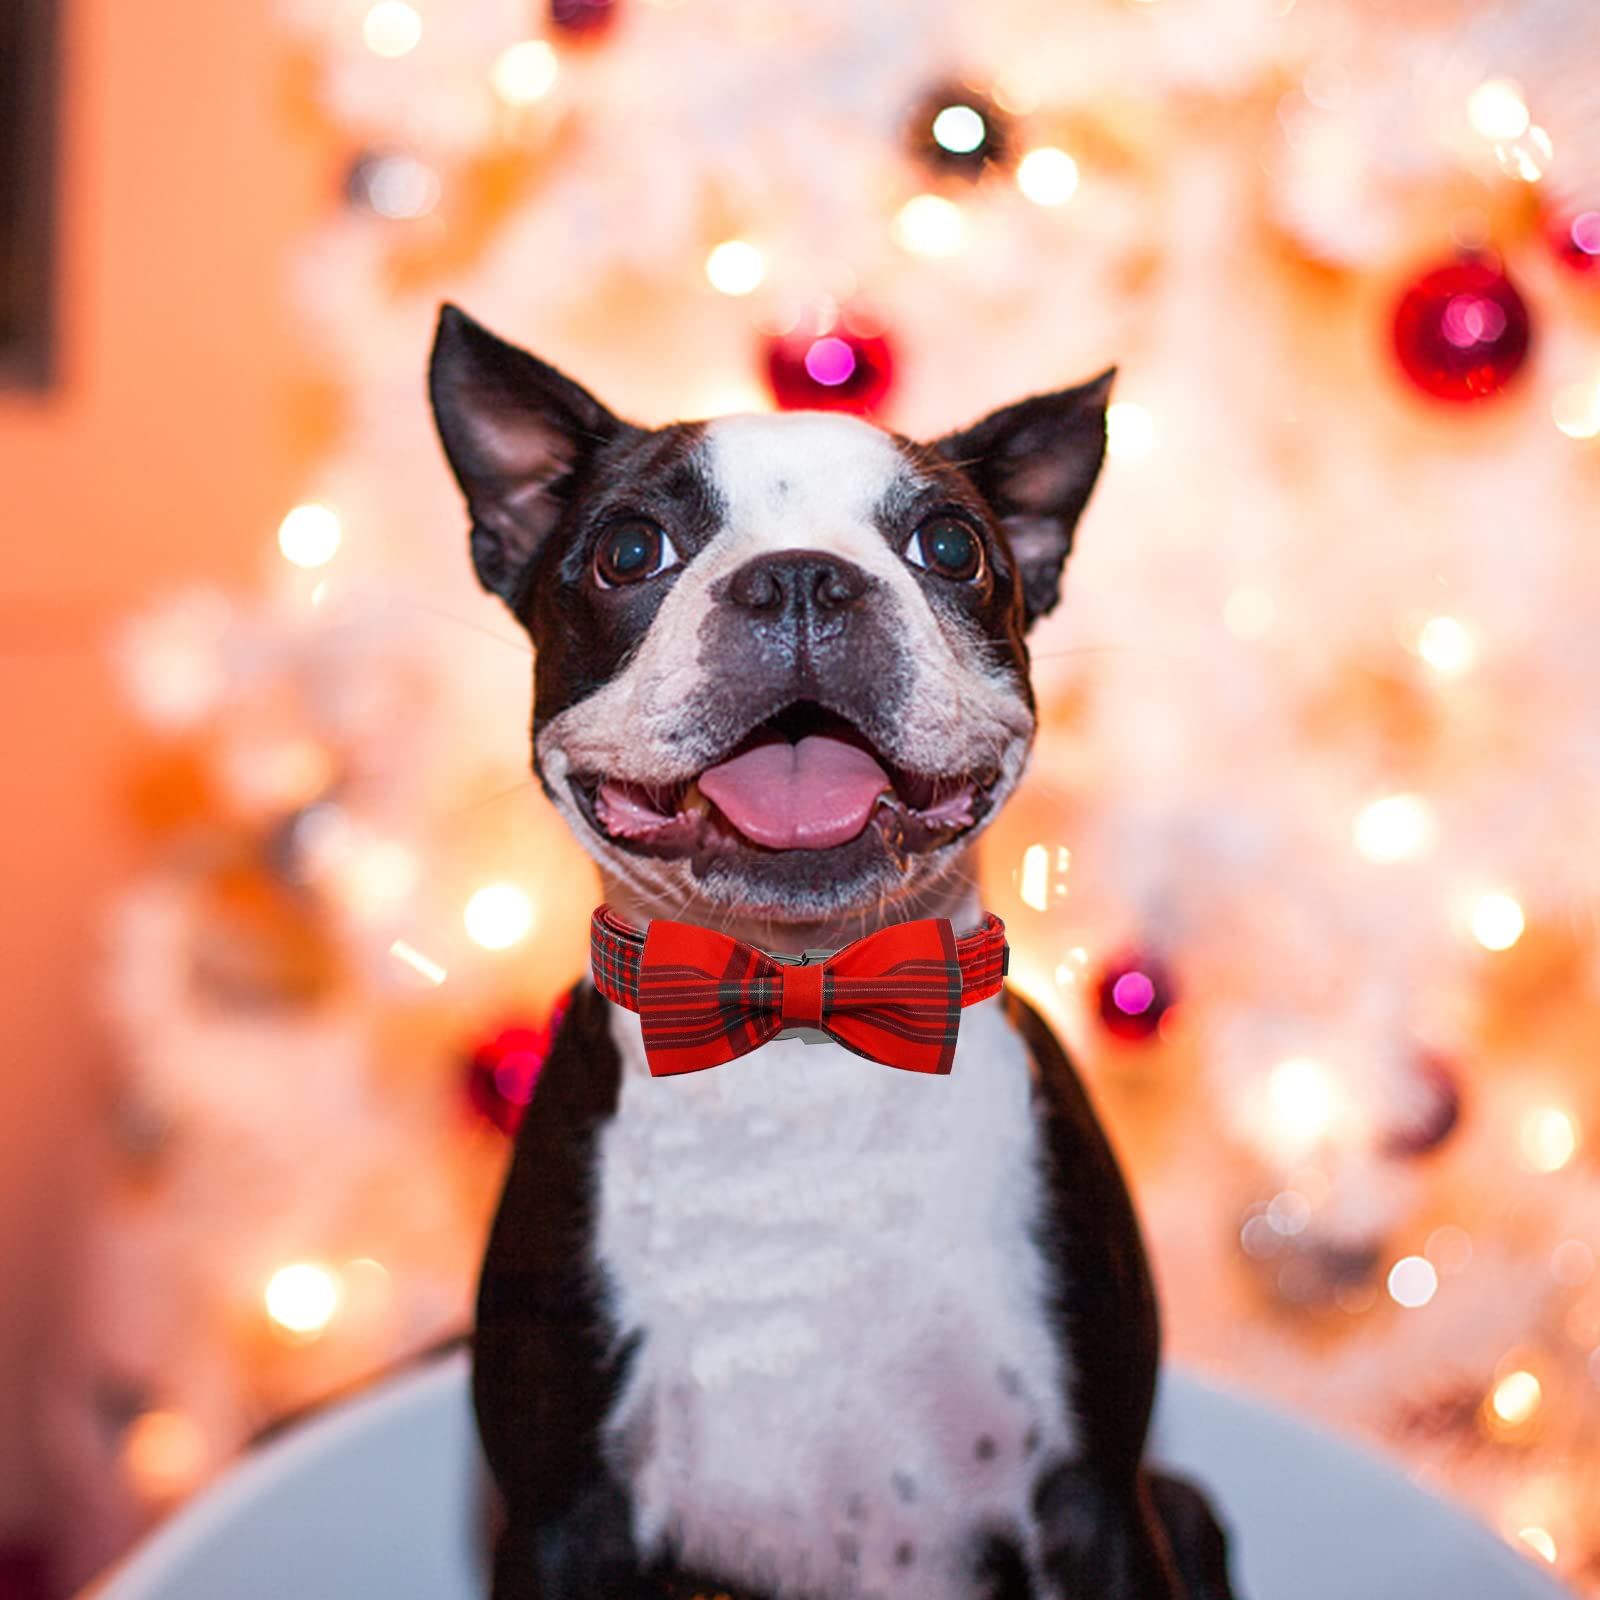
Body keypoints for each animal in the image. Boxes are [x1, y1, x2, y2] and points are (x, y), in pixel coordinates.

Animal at [428, 302, 1235, 1600]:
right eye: (630, 550)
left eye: (950, 546)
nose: (801, 576)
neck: (797, 1026)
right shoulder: (559, 1521)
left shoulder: (1098, 1502)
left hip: (1183, 1506)